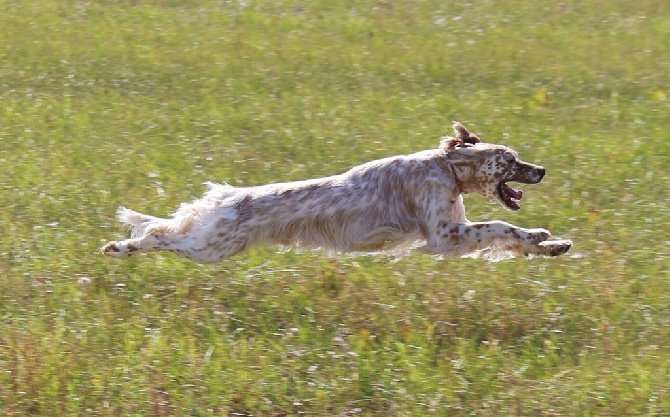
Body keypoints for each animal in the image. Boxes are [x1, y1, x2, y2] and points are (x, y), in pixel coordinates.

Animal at [102, 122, 576, 262]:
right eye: (511, 160)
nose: (542, 170)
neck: (445, 166)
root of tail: (228, 197)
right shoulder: (445, 236)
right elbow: (500, 225)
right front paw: (538, 235)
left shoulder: (454, 232)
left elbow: (508, 237)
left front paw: (551, 245)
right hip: (210, 247)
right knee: (157, 236)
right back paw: (119, 247)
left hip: (212, 243)